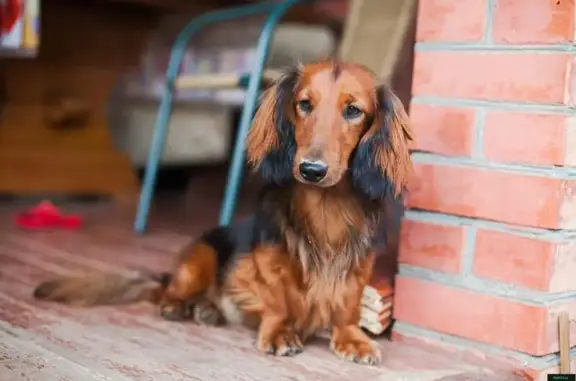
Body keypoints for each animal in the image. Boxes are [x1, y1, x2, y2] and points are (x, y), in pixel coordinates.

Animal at [32, 60, 414, 366]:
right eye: (304, 104)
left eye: (353, 111)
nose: (311, 170)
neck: (326, 206)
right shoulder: (261, 264)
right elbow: (277, 299)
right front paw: (278, 331)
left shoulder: (359, 267)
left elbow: (348, 304)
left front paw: (351, 338)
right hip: (199, 258)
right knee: (170, 291)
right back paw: (180, 305)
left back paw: (207, 309)